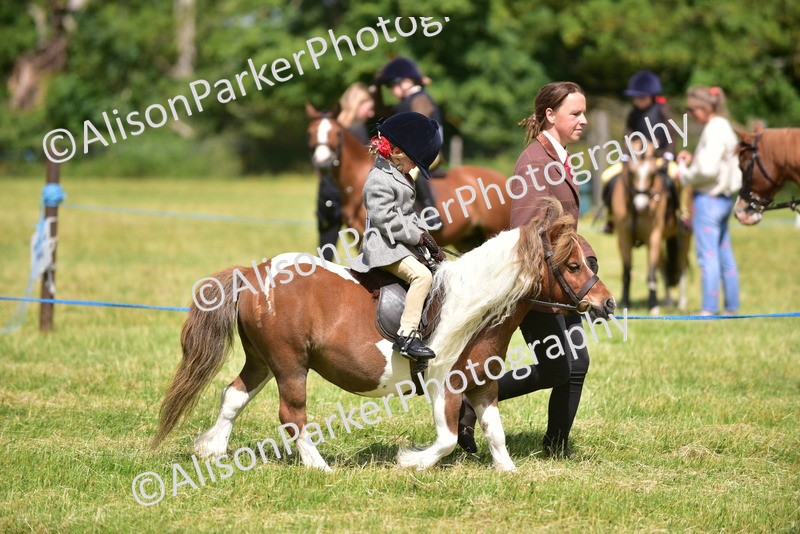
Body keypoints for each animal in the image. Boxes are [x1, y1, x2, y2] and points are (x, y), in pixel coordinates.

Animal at [152, 199, 616, 472]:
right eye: (574, 265)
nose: (608, 304)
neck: (475, 306)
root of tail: (253, 274)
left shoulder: (482, 384)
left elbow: (494, 432)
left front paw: (508, 473)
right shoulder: (444, 383)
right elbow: (447, 439)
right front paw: (411, 462)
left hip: (263, 359)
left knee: (234, 395)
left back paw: (211, 450)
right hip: (289, 363)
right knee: (291, 416)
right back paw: (319, 467)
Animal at [609, 139, 691, 314]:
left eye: (652, 174)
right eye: (632, 172)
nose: (641, 205)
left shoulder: (654, 236)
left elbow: (651, 274)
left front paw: (653, 306)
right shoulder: (624, 238)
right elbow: (627, 273)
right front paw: (625, 302)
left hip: (683, 237)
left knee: (682, 267)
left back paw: (681, 303)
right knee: (664, 268)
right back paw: (668, 301)